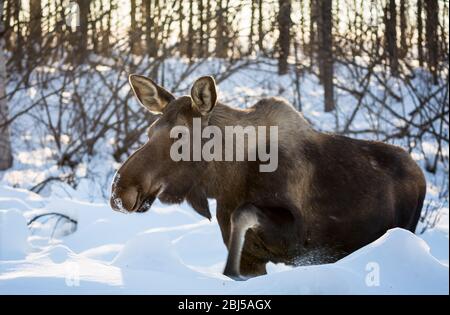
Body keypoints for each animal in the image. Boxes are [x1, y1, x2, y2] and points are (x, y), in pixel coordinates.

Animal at [109, 74, 426, 282]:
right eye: (150, 131)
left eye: (181, 136)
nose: (120, 191)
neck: (225, 181)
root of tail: (420, 172)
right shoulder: (253, 258)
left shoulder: (298, 237)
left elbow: (243, 212)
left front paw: (228, 272)